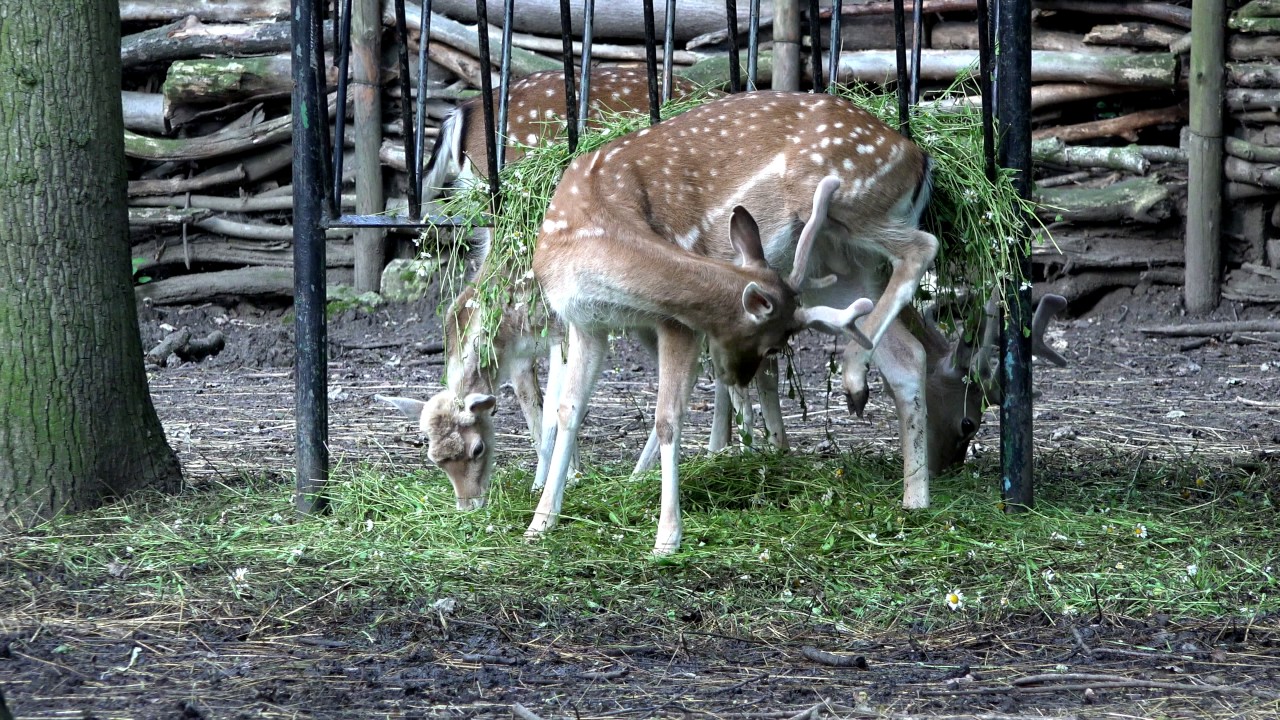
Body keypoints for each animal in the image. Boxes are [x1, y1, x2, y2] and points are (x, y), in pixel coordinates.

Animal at [377, 67, 707, 510]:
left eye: (477, 449)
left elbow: (552, 403)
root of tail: (460, 113)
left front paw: (555, 477)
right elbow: (534, 395)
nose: (468, 506)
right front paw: (558, 475)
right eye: (432, 456)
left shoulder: (561, 329)